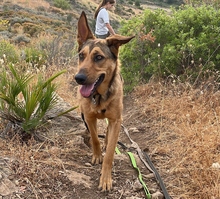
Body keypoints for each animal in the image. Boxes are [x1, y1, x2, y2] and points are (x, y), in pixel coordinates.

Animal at [75, 11, 134, 191]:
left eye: (99, 57)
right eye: (81, 56)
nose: (78, 78)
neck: (99, 96)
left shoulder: (116, 120)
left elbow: (109, 154)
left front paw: (106, 179)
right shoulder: (88, 117)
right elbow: (94, 138)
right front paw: (96, 155)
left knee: (108, 133)